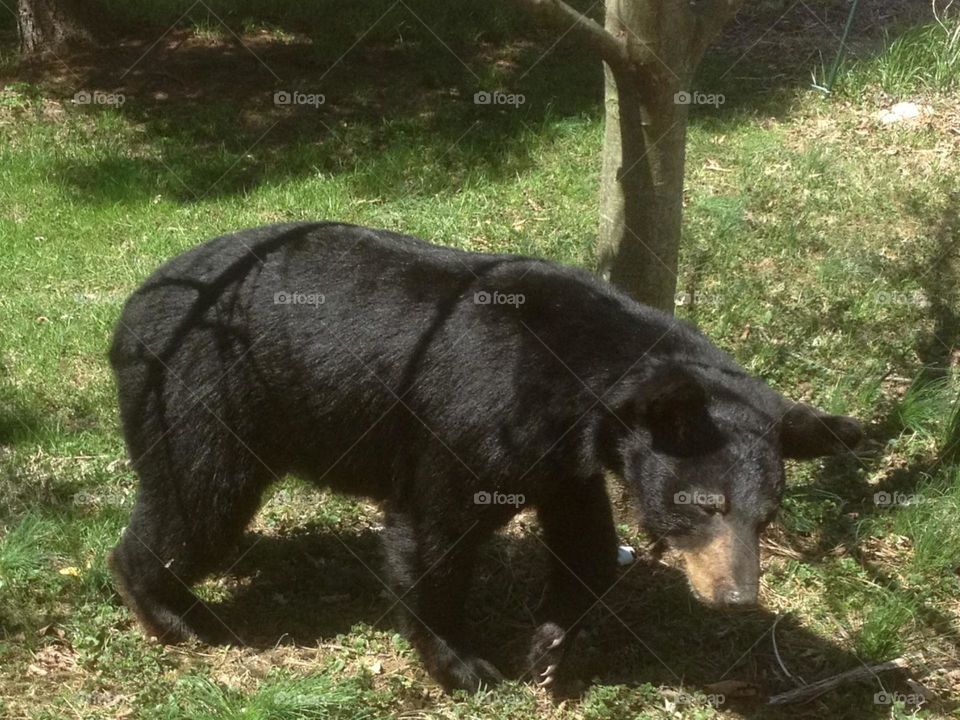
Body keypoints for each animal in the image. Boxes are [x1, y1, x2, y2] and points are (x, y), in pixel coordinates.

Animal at [107, 221, 863, 693]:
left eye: (768, 515)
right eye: (705, 505)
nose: (737, 597)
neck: (575, 384)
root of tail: (132, 305)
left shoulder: (563, 455)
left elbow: (585, 540)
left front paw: (550, 647)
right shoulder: (474, 414)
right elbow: (433, 532)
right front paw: (464, 664)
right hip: (203, 390)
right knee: (198, 499)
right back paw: (170, 611)